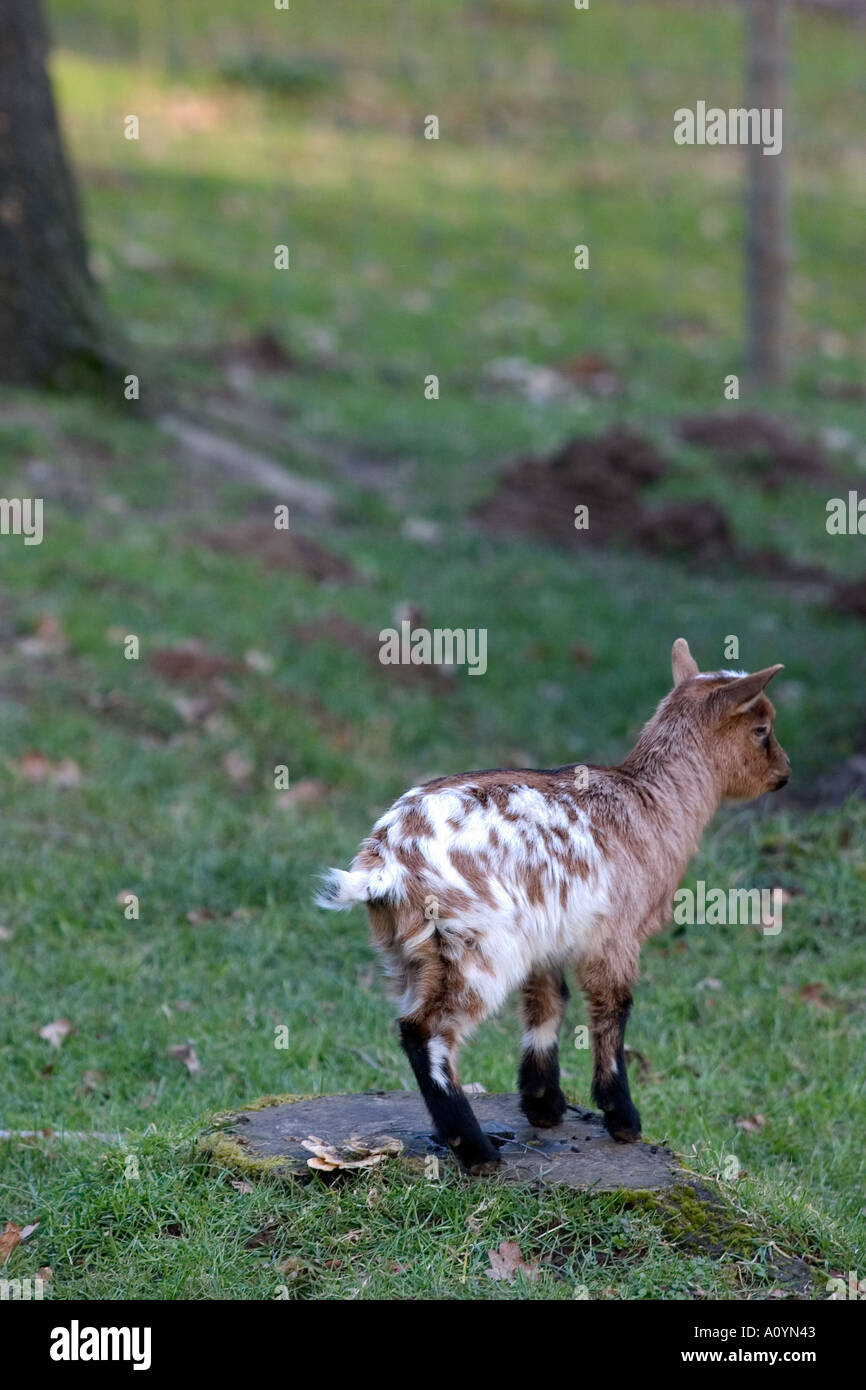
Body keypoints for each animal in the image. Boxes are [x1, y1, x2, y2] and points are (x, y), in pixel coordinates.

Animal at [318, 639, 795, 1173]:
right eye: (761, 730)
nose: (784, 775)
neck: (651, 802)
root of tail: (387, 861)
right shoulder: (615, 935)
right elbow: (612, 1010)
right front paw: (622, 1117)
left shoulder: (547, 934)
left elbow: (548, 1002)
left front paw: (544, 1106)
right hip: (478, 946)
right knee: (428, 1032)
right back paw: (477, 1150)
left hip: (414, 952)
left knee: (414, 1023)